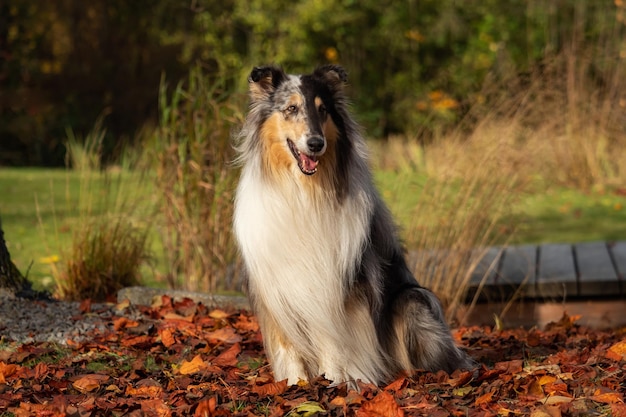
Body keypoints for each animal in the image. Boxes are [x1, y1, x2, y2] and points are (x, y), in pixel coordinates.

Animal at [232, 63, 470, 386]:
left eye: (323, 110)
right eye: (291, 108)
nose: (316, 144)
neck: (303, 193)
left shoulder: (341, 279)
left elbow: (335, 337)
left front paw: (335, 380)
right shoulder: (274, 284)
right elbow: (287, 343)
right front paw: (294, 384)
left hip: (413, 300)